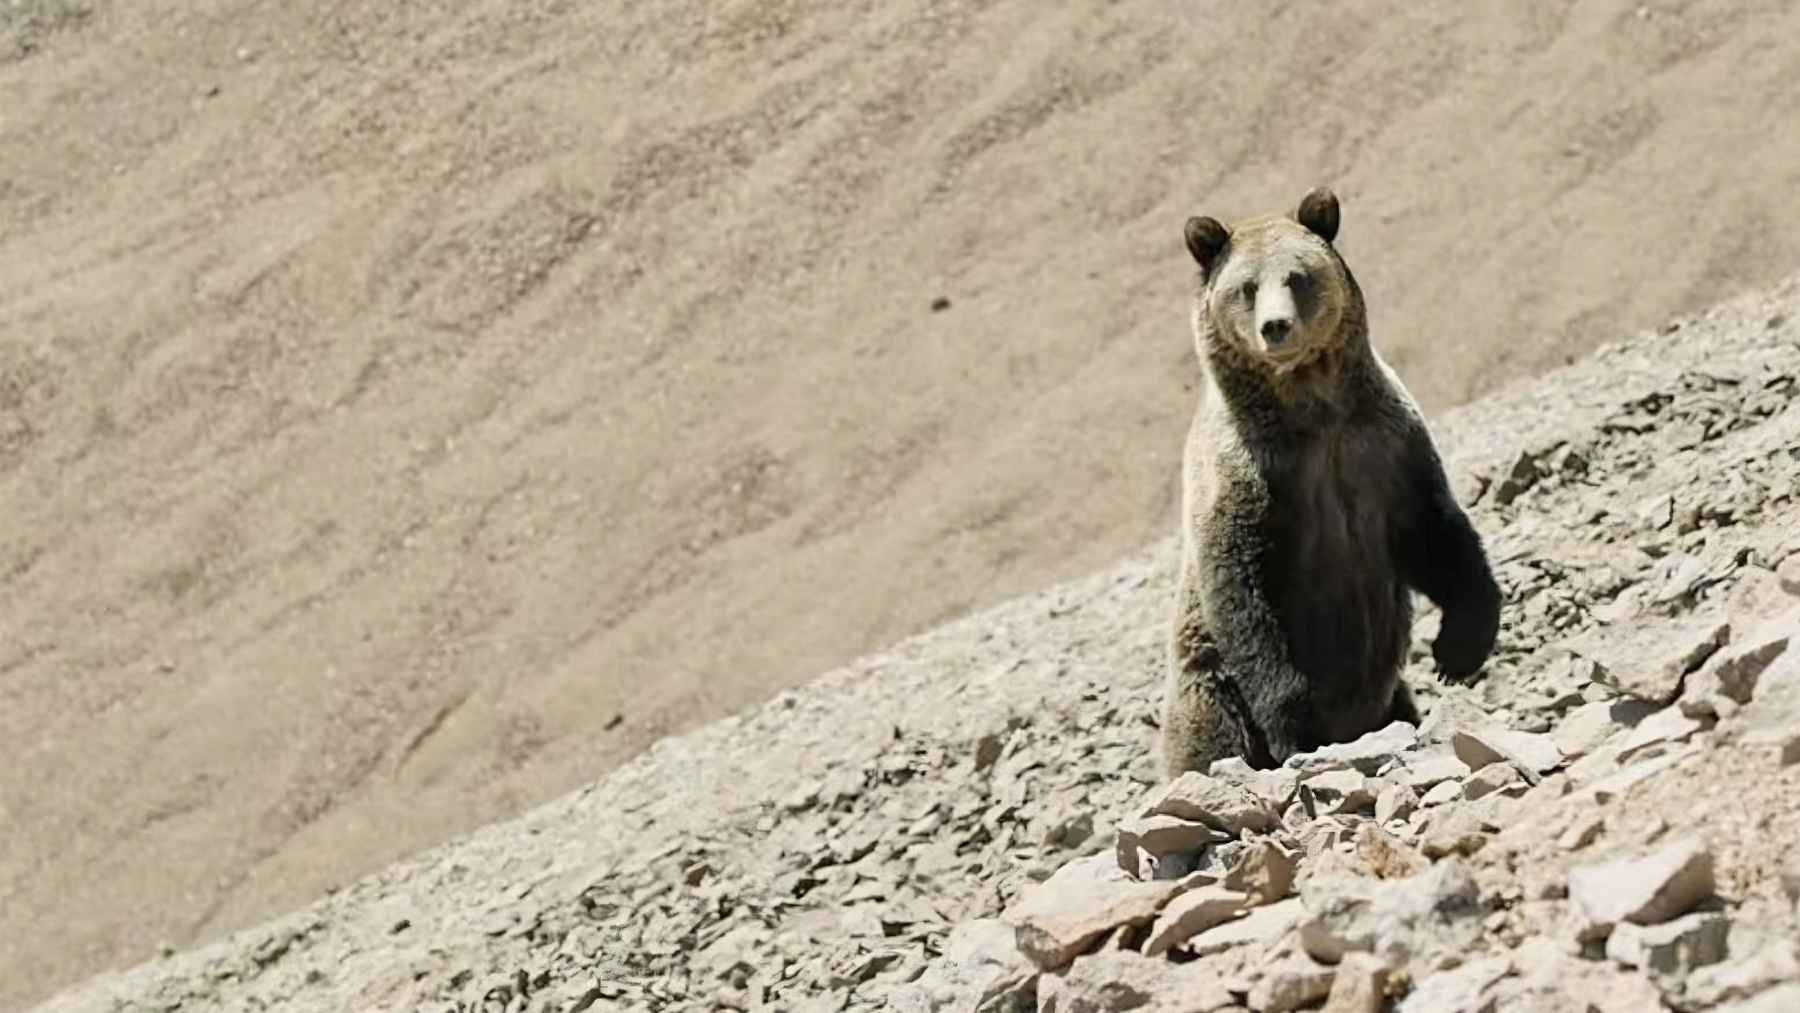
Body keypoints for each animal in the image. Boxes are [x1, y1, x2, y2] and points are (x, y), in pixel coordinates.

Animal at [1160, 186, 1501, 776]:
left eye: (1298, 276)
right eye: (1246, 287)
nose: (1276, 326)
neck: (1315, 415)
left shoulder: (1385, 447)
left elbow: (1435, 532)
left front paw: (1458, 650)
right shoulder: (1249, 477)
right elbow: (1245, 590)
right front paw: (1296, 721)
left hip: (1391, 697)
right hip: (1209, 690)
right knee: (1212, 736)